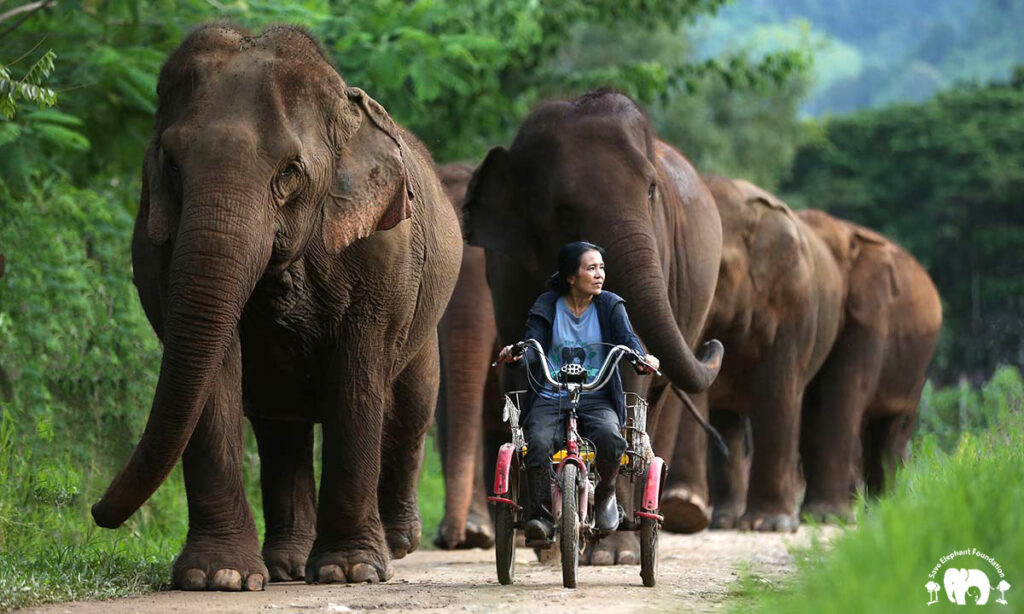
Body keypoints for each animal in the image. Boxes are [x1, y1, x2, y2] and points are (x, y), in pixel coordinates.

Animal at [92, 24, 460, 589]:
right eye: (171, 164)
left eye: (289, 171)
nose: (96, 513)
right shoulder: (157, 249)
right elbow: (213, 377)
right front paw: (217, 576)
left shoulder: (382, 254)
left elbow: (356, 382)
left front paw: (349, 572)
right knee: (281, 429)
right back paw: (287, 566)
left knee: (410, 410)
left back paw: (397, 543)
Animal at [464, 88, 729, 564]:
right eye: (564, 209)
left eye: (651, 190)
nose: (713, 344)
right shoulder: (505, 267)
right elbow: (522, 360)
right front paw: (543, 535)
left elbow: (628, 367)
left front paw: (613, 553)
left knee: (652, 414)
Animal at [659, 176, 843, 532]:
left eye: (715, 266)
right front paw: (682, 509)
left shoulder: (794, 297)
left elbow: (778, 386)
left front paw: (771, 525)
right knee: (727, 419)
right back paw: (723, 520)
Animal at [798, 208, 942, 519]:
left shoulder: (872, 316)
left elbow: (846, 388)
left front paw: (831, 515)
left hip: (915, 375)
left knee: (892, 428)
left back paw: (882, 504)